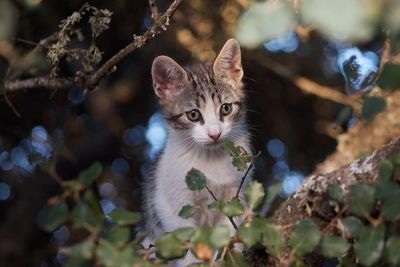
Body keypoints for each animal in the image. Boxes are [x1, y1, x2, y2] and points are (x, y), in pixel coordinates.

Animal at [142, 38, 252, 266]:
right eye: (193, 114)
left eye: (226, 108)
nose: (215, 134)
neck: (210, 158)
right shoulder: (168, 204)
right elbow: (186, 242)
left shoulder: (234, 196)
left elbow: (229, 231)